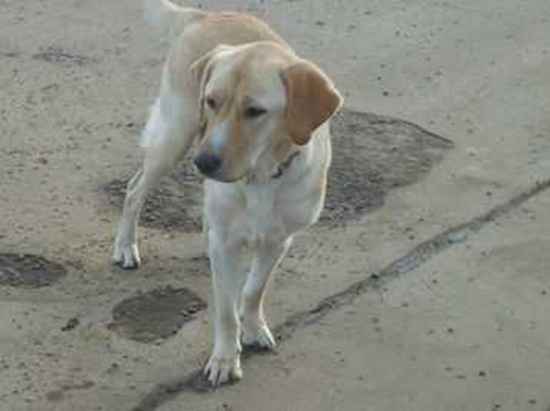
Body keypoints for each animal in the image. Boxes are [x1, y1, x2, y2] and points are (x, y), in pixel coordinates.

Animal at [113, 0, 342, 386]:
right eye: (211, 101)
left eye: (255, 111)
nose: (203, 162)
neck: (262, 178)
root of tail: (204, 14)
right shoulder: (227, 243)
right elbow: (224, 310)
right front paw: (224, 357)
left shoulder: (279, 241)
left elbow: (253, 291)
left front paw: (253, 327)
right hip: (176, 136)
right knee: (134, 189)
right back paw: (126, 245)